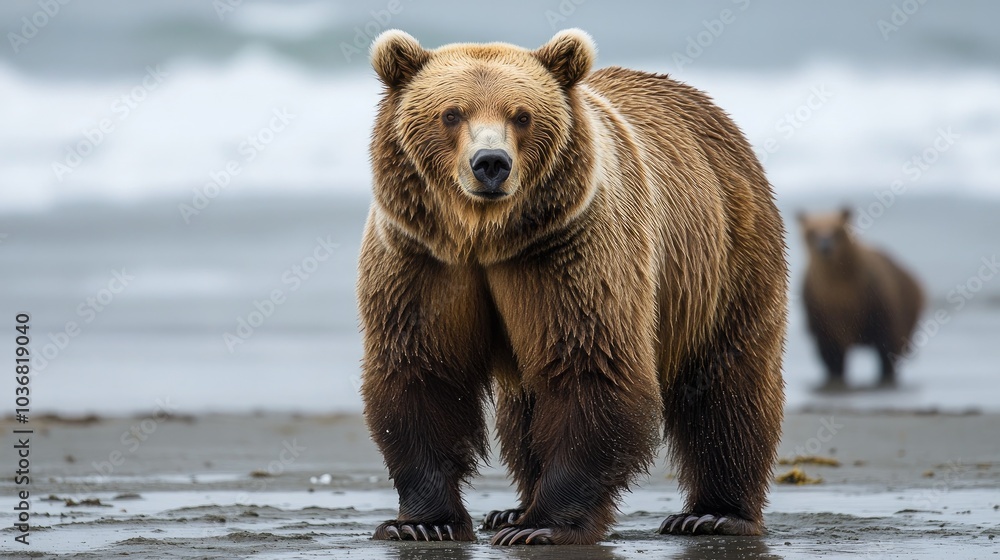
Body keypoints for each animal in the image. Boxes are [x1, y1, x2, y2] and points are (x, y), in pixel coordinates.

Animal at [357, 28, 787, 546]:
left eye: (521, 115)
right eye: (451, 113)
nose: (490, 163)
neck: (485, 240)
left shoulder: (570, 254)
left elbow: (589, 369)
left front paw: (544, 526)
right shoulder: (422, 261)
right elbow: (422, 370)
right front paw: (424, 522)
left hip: (726, 260)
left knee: (727, 387)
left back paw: (713, 514)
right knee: (522, 407)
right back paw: (510, 509)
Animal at [798, 208, 924, 389]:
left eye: (837, 230)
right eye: (812, 231)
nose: (825, 246)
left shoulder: (879, 310)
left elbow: (887, 349)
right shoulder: (822, 321)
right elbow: (832, 357)